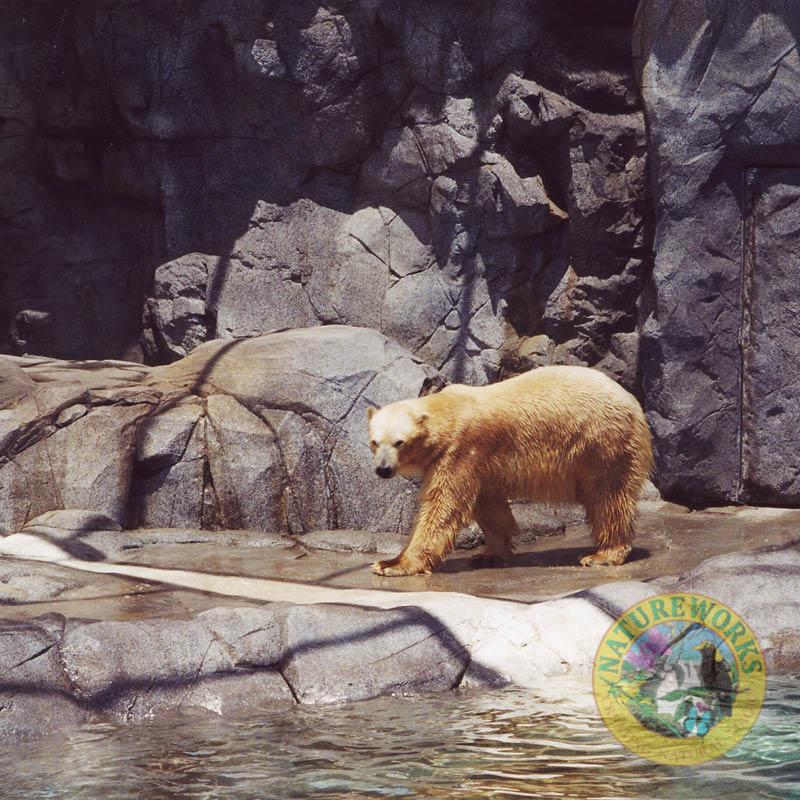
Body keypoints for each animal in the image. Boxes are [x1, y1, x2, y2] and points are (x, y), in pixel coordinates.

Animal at [367, 365, 653, 576]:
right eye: (374, 441)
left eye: (399, 442)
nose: (383, 469)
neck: (449, 412)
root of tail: (633, 402)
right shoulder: (481, 464)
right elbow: (489, 505)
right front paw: (489, 555)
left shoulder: (461, 450)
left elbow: (443, 504)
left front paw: (393, 564)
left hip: (603, 442)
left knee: (607, 496)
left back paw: (602, 554)